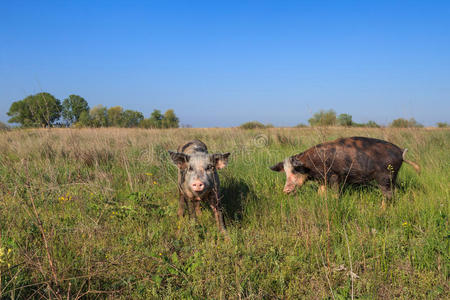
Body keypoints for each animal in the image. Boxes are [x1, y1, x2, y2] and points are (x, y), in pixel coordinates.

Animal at [270, 137, 422, 199]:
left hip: (385, 177)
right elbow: (320, 192)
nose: (285, 191)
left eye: (295, 171)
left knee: (388, 196)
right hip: (393, 177)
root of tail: (401, 152)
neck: (310, 164)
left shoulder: (334, 176)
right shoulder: (322, 180)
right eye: (285, 172)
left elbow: (335, 193)